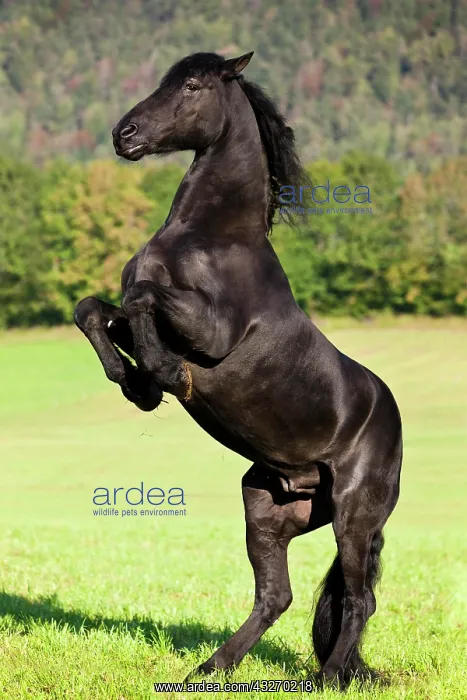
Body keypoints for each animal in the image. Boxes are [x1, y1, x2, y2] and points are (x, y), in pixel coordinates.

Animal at [74, 51, 402, 688]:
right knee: (277, 596)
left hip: (355, 513)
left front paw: (160, 376)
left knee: (358, 599)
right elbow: (95, 309)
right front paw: (134, 383)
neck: (208, 238)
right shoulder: (130, 309)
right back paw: (210, 668)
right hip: (269, 507)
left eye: (192, 85)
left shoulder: (212, 331)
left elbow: (143, 298)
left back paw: (326, 679)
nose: (124, 134)